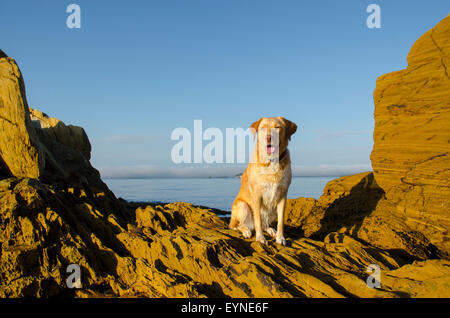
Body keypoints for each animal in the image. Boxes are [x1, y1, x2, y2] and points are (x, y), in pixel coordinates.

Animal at [230, 117, 298, 246]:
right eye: (262, 128)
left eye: (277, 127)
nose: (268, 137)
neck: (271, 161)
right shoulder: (257, 196)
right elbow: (258, 220)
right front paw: (260, 238)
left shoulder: (283, 196)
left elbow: (281, 221)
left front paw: (280, 238)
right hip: (242, 206)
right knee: (236, 226)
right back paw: (246, 230)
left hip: (272, 209)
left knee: (265, 222)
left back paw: (271, 230)